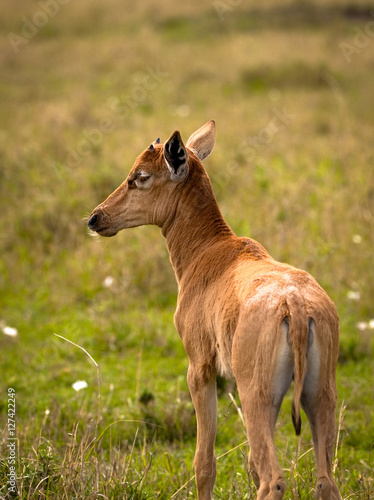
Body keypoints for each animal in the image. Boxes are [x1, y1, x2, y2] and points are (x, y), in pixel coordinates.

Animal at [88, 121, 342, 500]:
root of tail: (295, 305)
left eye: (141, 176)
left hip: (258, 398)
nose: (95, 218)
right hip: (317, 396)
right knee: (324, 479)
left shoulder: (201, 370)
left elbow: (204, 464)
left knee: (273, 479)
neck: (214, 251)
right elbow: (249, 464)